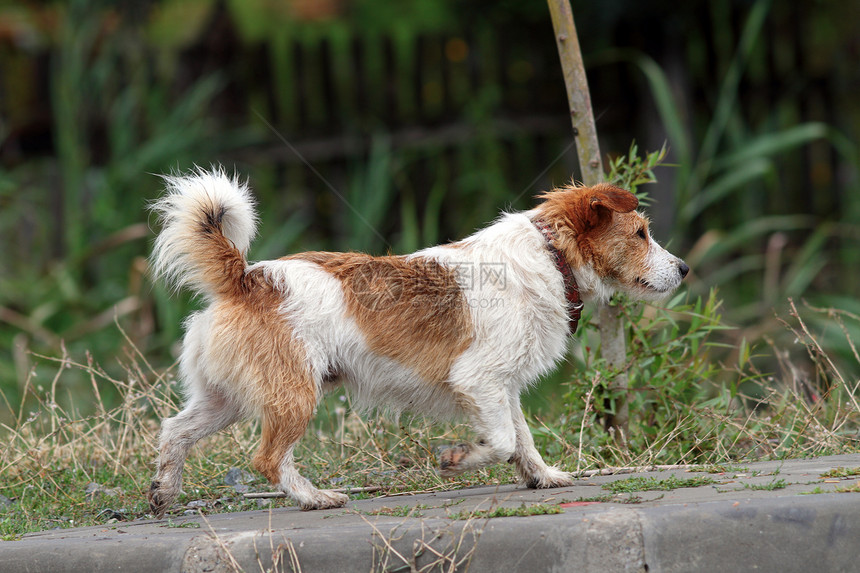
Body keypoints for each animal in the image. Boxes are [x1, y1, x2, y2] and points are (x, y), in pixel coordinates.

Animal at [146, 166, 684, 512]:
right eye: (640, 233)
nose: (684, 268)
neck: (551, 257)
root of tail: (247, 278)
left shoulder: (501, 388)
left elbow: (521, 438)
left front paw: (542, 476)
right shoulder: (478, 380)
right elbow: (501, 440)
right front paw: (460, 460)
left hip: (227, 400)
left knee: (175, 431)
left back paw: (164, 491)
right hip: (294, 395)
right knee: (266, 459)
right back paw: (314, 497)